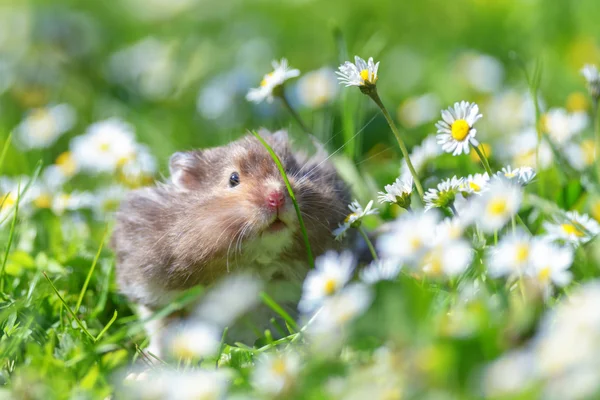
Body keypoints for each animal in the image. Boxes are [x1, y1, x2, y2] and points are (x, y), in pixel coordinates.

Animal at [110, 130, 350, 352]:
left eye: (288, 169)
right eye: (233, 179)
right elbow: (161, 331)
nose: (277, 198)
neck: (254, 259)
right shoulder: (153, 293)